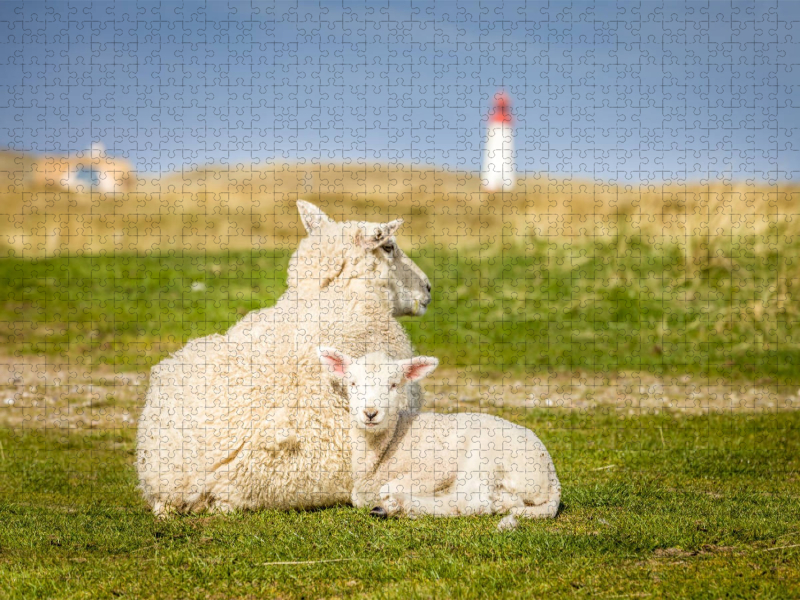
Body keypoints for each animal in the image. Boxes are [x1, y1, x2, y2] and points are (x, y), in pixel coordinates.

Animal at [317, 348, 561, 528]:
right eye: (352, 384)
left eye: (394, 385)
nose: (370, 413)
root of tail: (552, 478)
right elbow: (358, 496)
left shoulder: (437, 467)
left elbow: (386, 487)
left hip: (485, 457)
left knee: (473, 502)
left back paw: (399, 506)